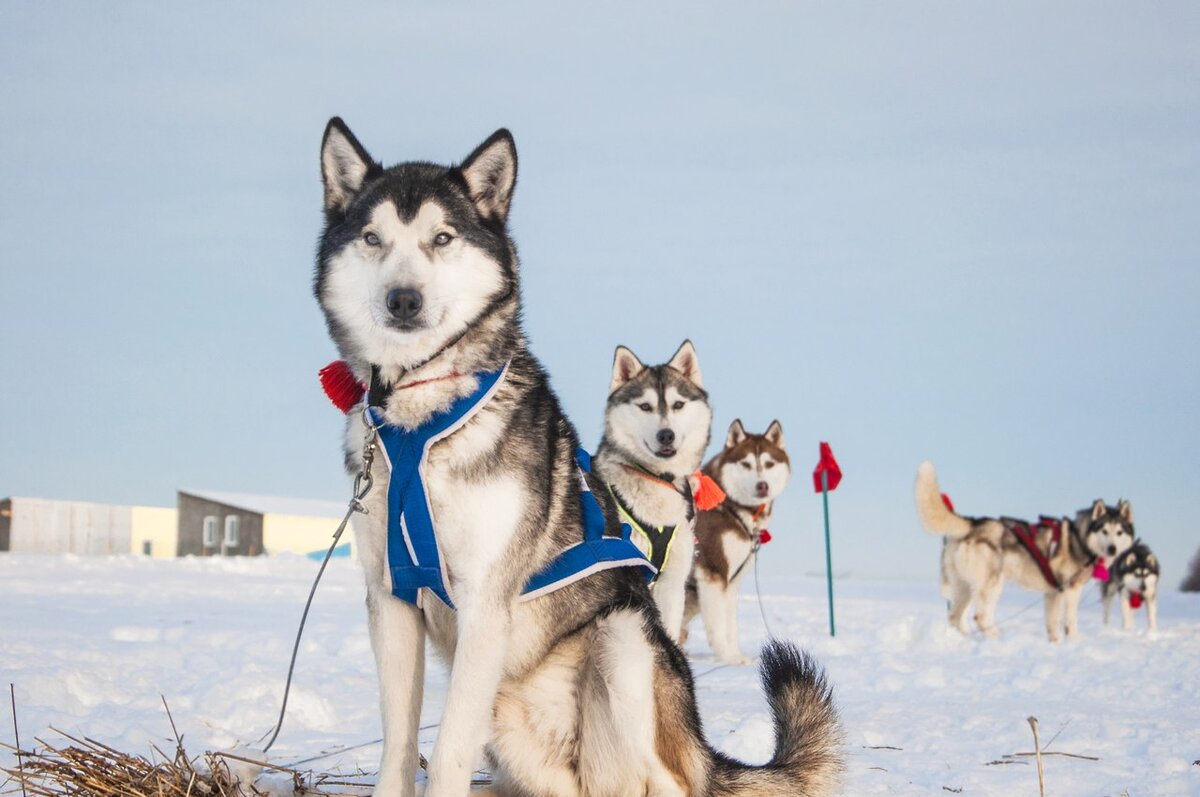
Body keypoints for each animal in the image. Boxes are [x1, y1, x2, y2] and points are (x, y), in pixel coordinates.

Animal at [681, 420, 792, 662]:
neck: (730, 506)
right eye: (746, 464)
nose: (762, 485)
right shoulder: (713, 573)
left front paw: (737, 658)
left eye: (769, 464)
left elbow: (730, 625)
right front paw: (727, 658)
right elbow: (718, 625)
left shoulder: (732, 582)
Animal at [912, 460, 1128, 643]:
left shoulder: (1052, 593)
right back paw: (995, 639)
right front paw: (1074, 642)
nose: (1112, 548)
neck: (1079, 538)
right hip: (992, 584)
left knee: (955, 616)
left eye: (1119, 532)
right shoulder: (1069, 589)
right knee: (981, 616)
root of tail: (973, 523)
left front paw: (1055, 644)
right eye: (1104, 531)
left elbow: (1052, 625)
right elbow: (1070, 621)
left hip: (966, 586)